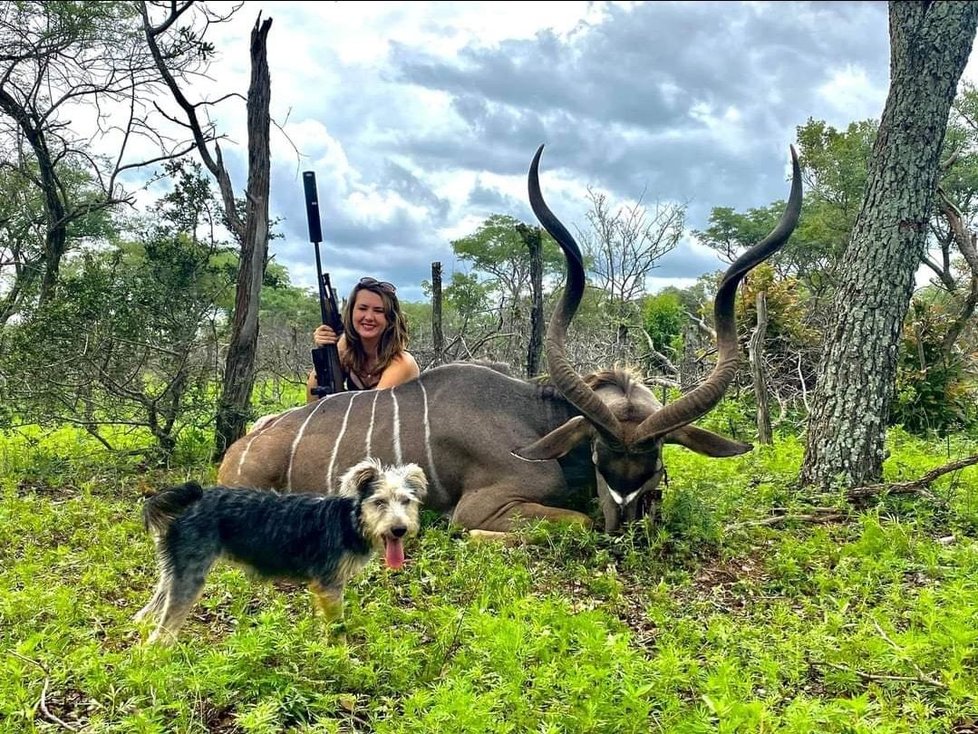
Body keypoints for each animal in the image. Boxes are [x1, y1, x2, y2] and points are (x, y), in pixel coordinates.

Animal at [219, 145, 800, 536]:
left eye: (655, 462)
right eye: (596, 457)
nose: (625, 523)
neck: (535, 420)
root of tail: (238, 449)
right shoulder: (483, 505)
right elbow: (568, 521)